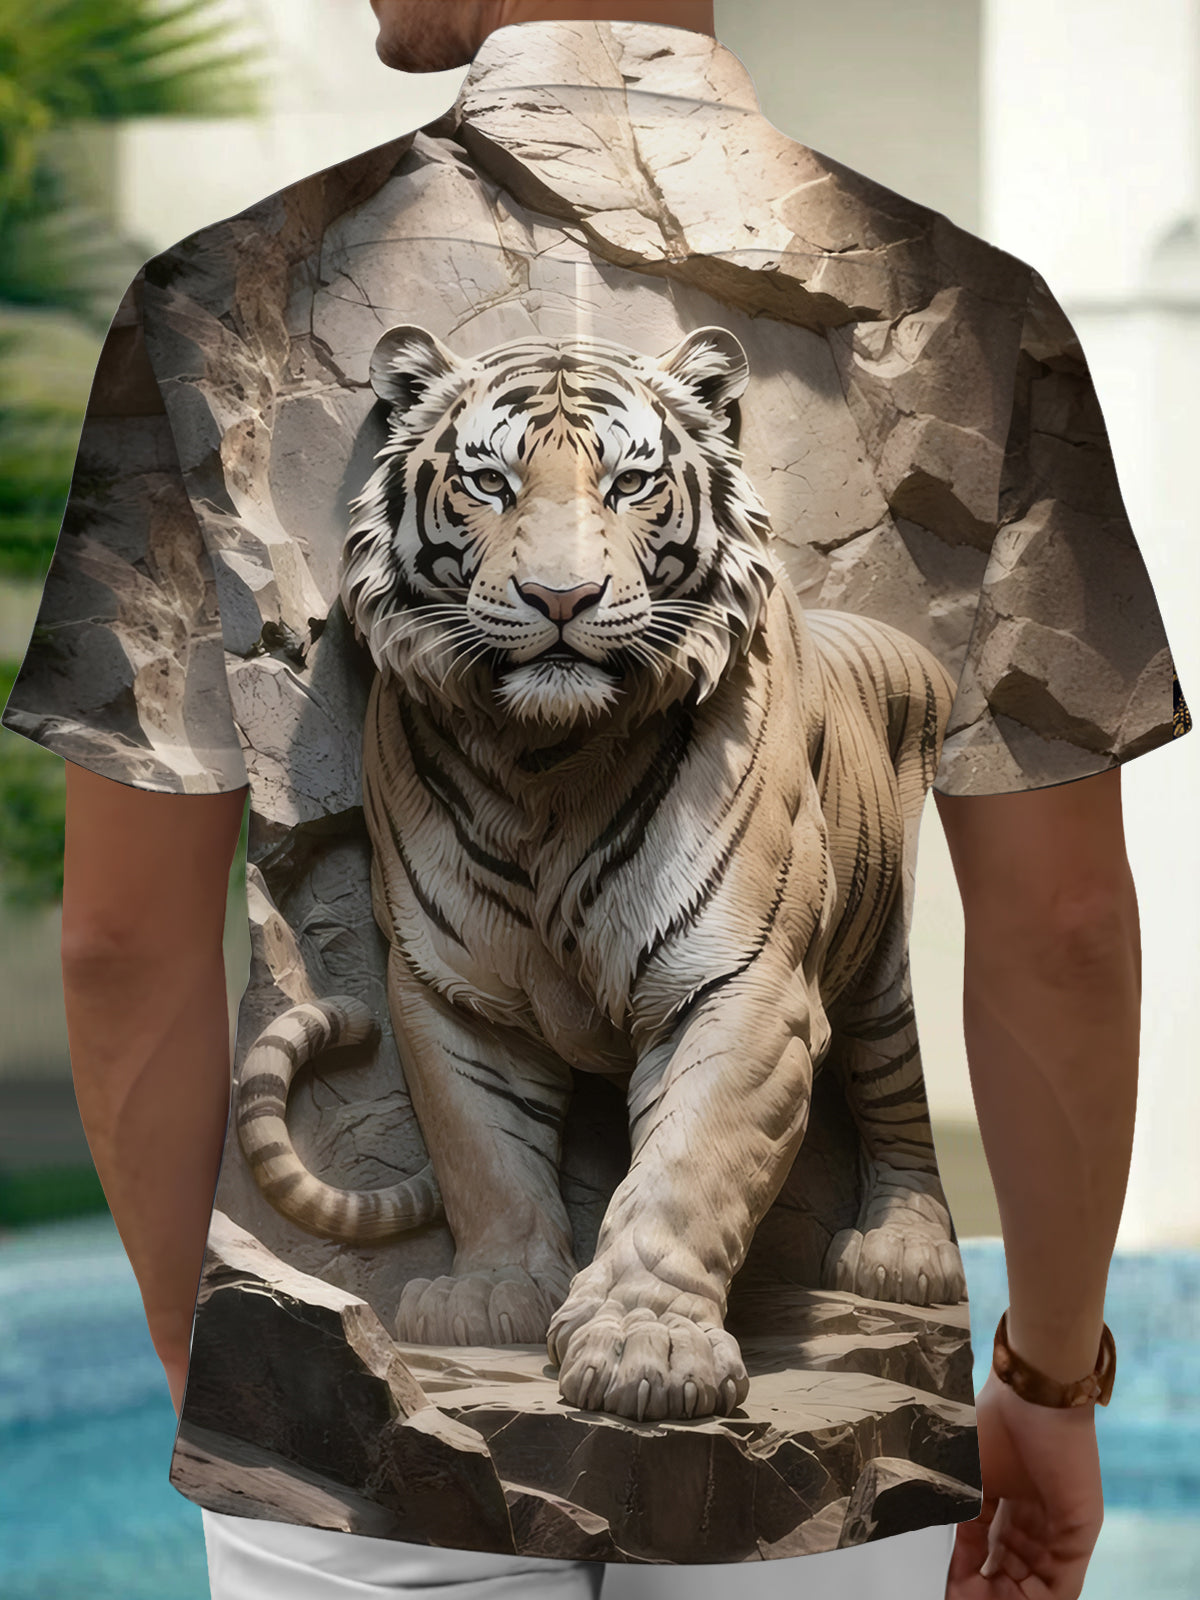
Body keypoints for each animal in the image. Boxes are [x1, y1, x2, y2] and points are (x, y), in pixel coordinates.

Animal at [234, 319, 967, 1423]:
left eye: (630, 484)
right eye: (488, 482)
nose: (561, 598)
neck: (546, 758)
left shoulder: (742, 983)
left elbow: (689, 1166)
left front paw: (645, 1348)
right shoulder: (456, 989)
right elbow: (484, 1149)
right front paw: (491, 1296)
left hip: (890, 970)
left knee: (905, 1099)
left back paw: (908, 1254)